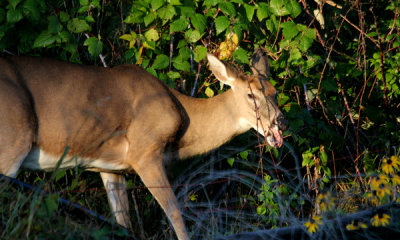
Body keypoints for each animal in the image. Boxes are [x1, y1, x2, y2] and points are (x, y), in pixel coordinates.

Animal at [0, 48, 288, 240]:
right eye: (250, 95)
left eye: (275, 92)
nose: (281, 122)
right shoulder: (145, 152)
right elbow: (176, 215)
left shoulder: (111, 167)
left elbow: (123, 223)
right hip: (12, 141)